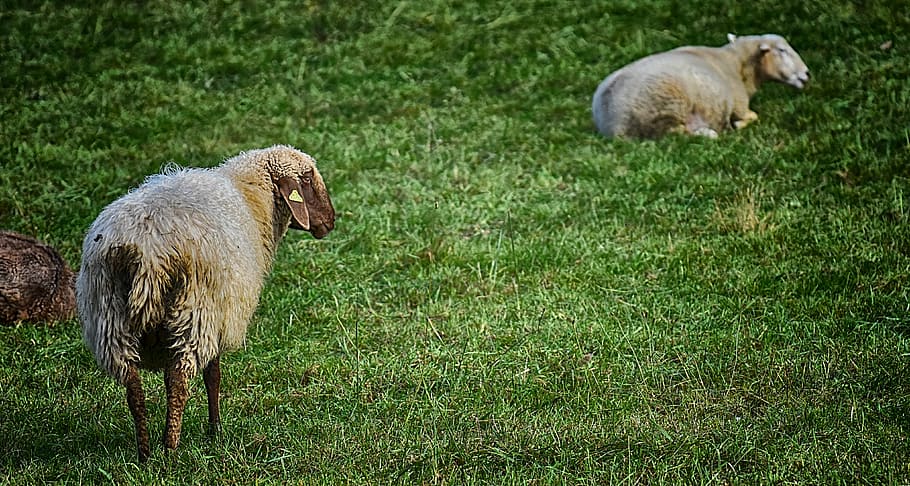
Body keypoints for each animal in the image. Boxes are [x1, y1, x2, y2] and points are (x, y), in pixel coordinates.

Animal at [76, 144, 335, 462]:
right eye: (307, 179)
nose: (330, 221)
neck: (250, 195)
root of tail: (145, 251)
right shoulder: (220, 315)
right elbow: (214, 375)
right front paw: (216, 429)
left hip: (110, 316)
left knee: (133, 386)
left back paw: (145, 452)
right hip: (194, 312)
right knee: (179, 381)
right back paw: (170, 449)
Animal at [592, 33, 810, 139]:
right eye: (782, 50)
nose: (807, 73)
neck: (735, 64)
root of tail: (612, 124)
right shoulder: (739, 105)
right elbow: (752, 116)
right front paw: (738, 125)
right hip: (666, 107)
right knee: (671, 134)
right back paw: (707, 133)